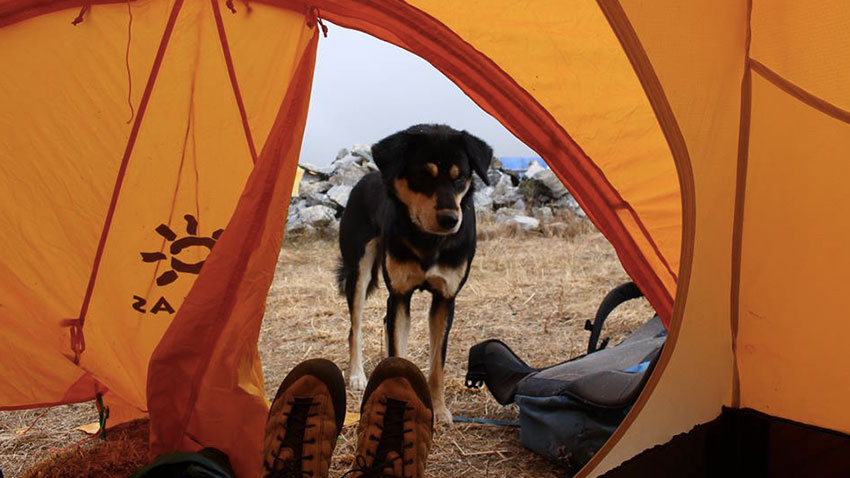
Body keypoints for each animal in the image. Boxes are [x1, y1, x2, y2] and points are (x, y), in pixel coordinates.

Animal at [334, 123, 486, 422]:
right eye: (422, 176)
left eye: (460, 178)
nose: (450, 220)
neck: (428, 240)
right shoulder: (401, 294)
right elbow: (398, 354)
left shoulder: (444, 299)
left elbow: (437, 365)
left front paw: (439, 410)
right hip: (359, 271)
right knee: (355, 327)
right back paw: (357, 375)